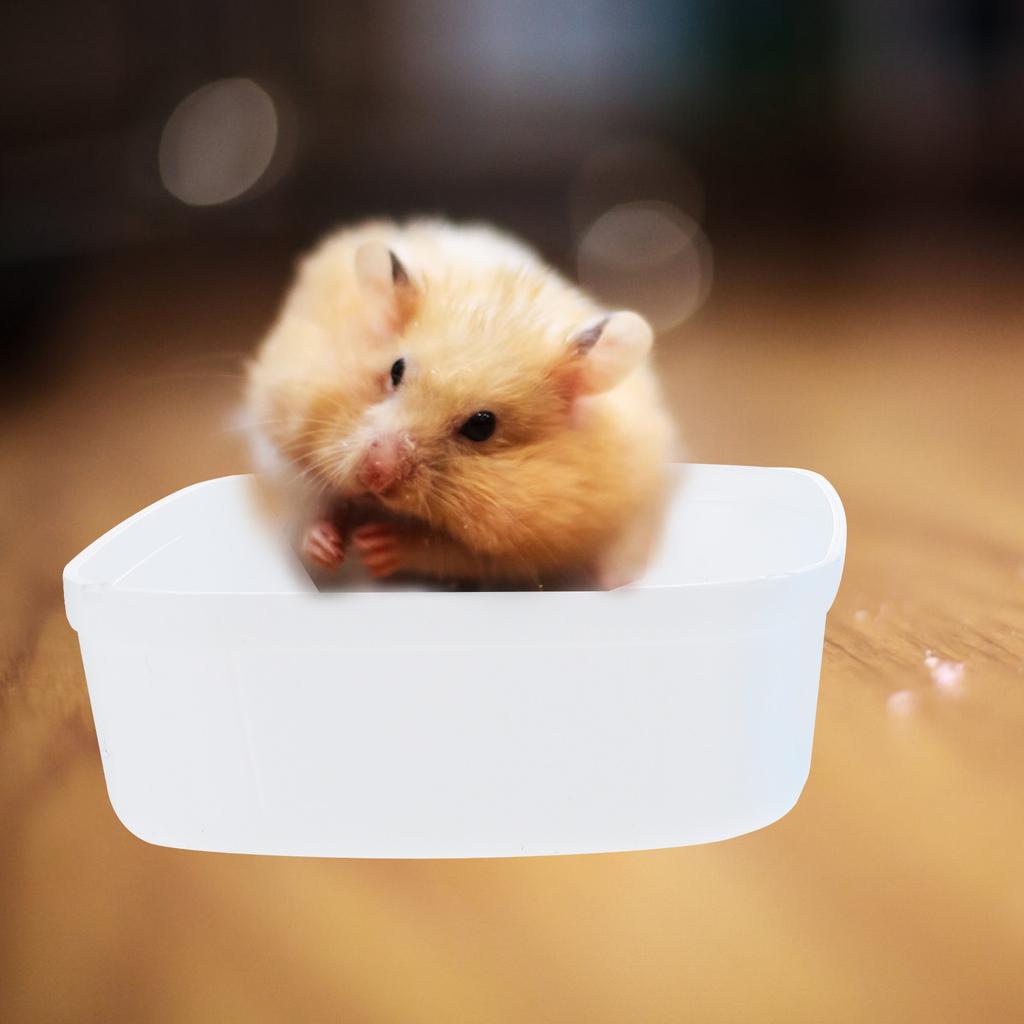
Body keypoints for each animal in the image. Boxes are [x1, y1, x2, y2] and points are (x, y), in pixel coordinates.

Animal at [245, 218, 676, 588]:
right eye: (395, 371)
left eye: (482, 426)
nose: (375, 473)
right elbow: (310, 502)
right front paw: (325, 547)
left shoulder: (529, 547)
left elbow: (447, 551)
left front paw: (374, 547)